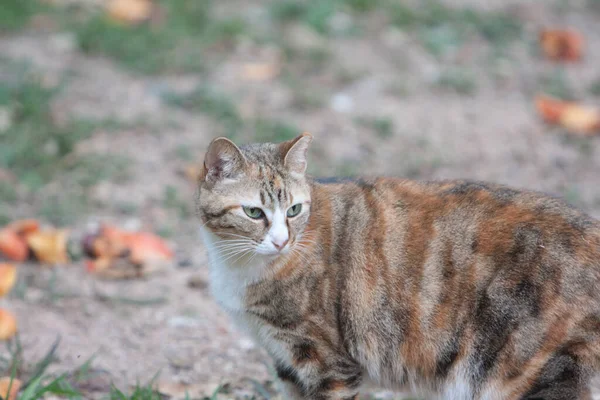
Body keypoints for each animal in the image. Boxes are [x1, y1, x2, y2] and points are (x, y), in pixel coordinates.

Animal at [197, 133, 600, 398]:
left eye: (293, 210)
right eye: (254, 212)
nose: (282, 240)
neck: (239, 264)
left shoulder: (327, 363)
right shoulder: (287, 363)